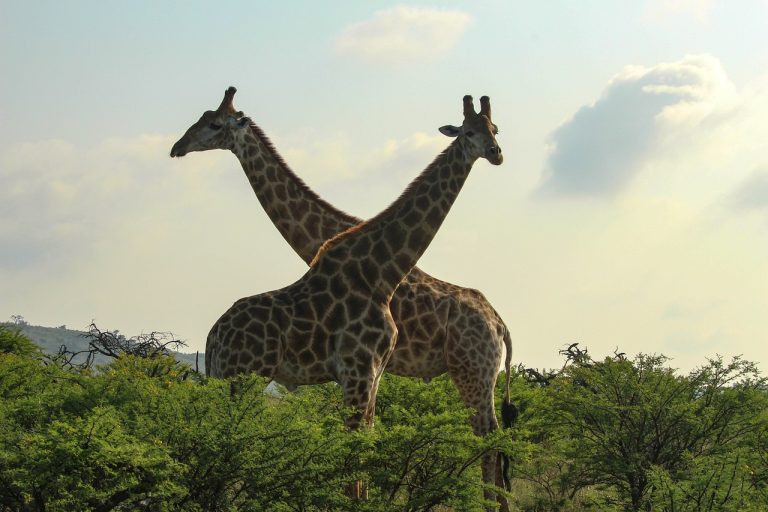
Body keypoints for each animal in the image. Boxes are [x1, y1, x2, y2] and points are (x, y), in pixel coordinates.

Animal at [171, 89, 514, 508]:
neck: (379, 269)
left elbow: (362, 446)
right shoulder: (359, 373)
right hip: (240, 379)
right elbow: (358, 449)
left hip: (473, 372)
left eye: (494, 128)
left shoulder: (367, 374)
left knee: (491, 437)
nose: (177, 147)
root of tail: (499, 321)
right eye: (468, 131)